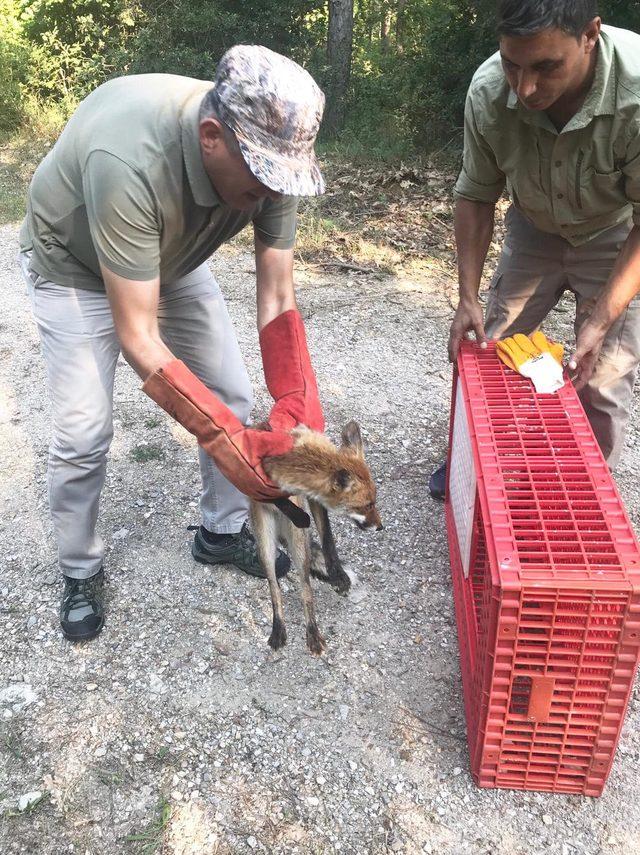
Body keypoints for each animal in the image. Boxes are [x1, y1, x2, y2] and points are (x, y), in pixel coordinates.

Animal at [250, 422, 380, 656]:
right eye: (367, 505)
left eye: (374, 502)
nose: (381, 527)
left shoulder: (315, 500)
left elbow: (328, 540)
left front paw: (338, 574)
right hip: (266, 546)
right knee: (276, 588)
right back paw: (282, 630)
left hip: (298, 546)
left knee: (305, 588)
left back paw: (311, 632)